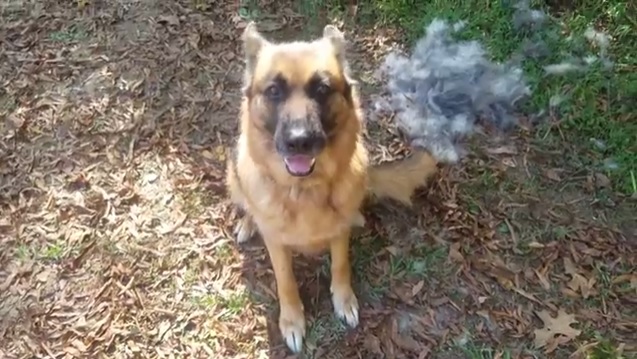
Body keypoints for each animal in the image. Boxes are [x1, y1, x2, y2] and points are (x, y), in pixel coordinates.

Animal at [224, 22, 438, 354]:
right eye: (274, 90)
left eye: (322, 89)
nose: (299, 141)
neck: (305, 190)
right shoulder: (277, 245)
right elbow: (285, 281)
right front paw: (292, 320)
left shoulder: (339, 235)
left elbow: (340, 266)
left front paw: (343, 300)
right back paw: (248, 224)